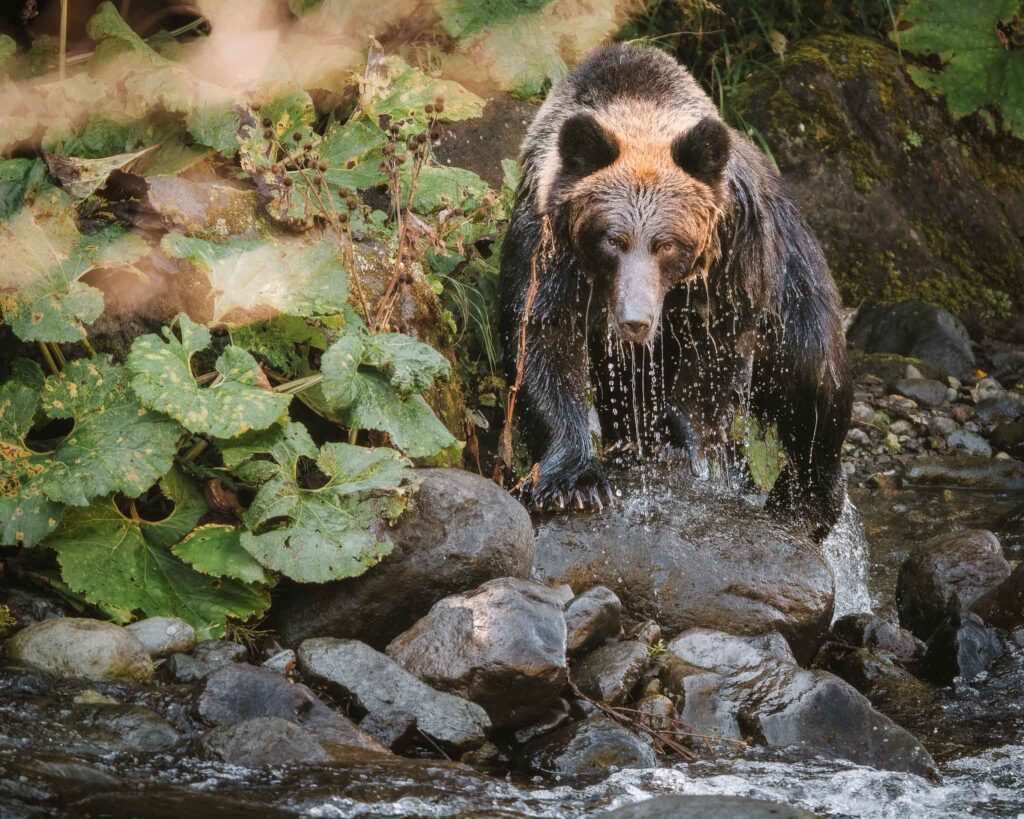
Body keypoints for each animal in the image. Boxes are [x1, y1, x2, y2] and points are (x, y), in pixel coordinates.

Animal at [499, 43, 852, 542]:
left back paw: (804, 500)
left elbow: (717, 350)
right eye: (612, 239)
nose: (635, 320)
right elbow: (544, 339)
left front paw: (675, 438)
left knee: (814, 380)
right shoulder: (546, 244)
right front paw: (575, 483)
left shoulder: (733, 251)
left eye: (667, 243)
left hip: (797, 286)